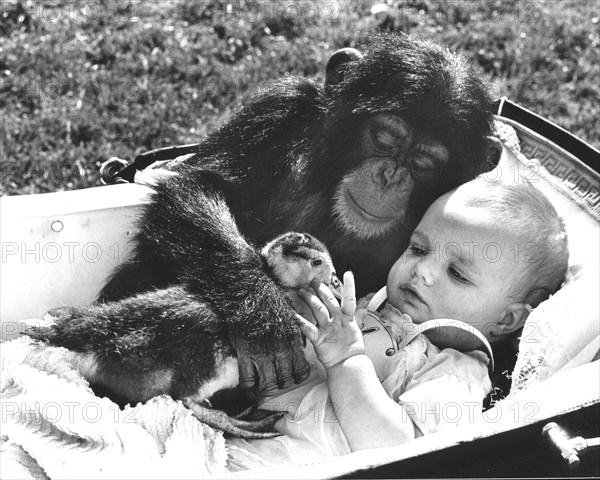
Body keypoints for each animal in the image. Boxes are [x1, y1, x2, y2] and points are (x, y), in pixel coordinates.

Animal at [44, 32, 502, 404]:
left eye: (425, 162)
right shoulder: (280, 107)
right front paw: (264, 316)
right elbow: (203, 184)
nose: (390, 174)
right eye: (385, 136)